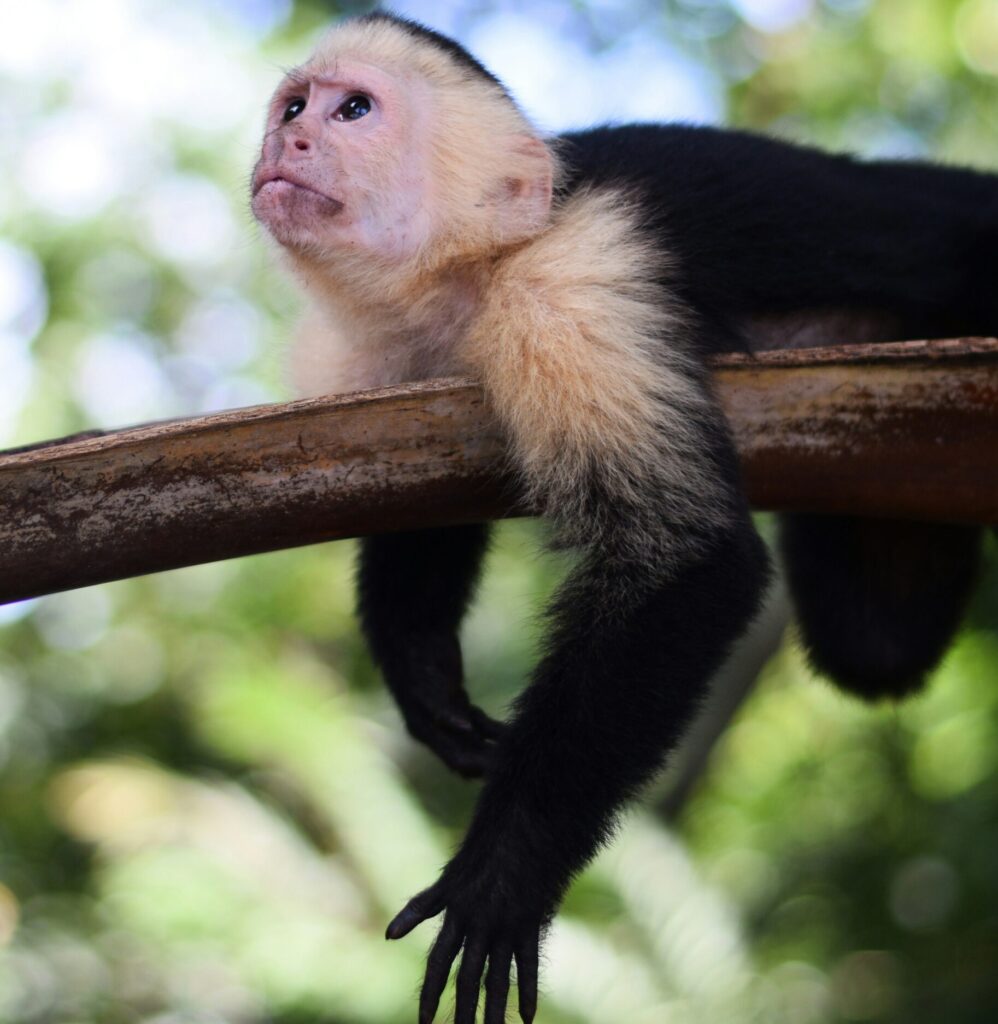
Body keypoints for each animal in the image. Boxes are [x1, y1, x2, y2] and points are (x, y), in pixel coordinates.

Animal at [251, 14, 998, 1024]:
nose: (287, 141)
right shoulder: (377, 367)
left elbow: (689, 557)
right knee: (875, 642)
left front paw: (505, 877)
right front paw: (425, 676)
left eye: (354, 111)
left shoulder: (568, 289)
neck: (467, 277)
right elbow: (411, 507)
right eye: (295, 106)